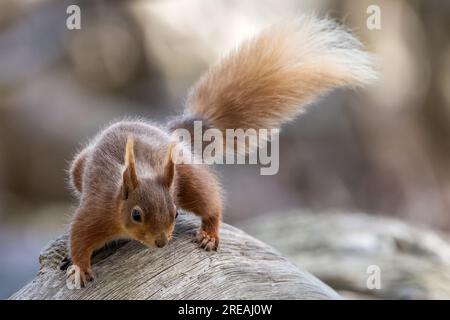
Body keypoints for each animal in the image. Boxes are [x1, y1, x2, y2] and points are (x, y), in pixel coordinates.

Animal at [66, 15, 376, 290]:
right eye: (136, 215)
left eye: (175, 213)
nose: (162, 242)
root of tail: (170, 133)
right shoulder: (97, 210)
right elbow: (78, 237)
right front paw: (79, 268)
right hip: (79, 169)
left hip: (188, 173)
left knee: (210, 201)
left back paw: (209, 234)